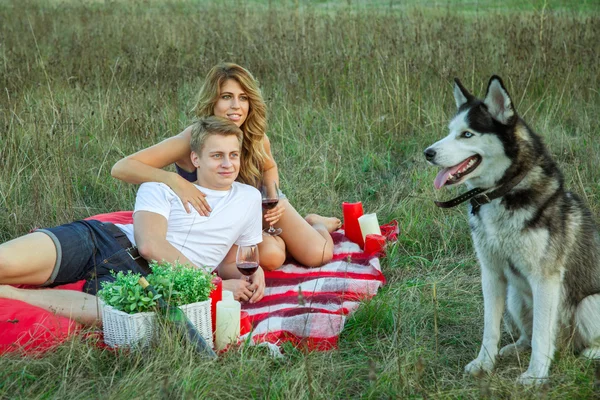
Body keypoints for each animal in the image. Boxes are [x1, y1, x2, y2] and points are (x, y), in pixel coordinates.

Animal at [422, 76, 600, 384]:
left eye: (467, 134)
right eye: (449, 132)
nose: (428, 153)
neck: (501, 194)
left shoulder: (545, 280)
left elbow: (542, 335)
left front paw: (536, 376)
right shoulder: (491, 274)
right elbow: (490, 329)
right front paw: (484, 363)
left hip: (590, 304)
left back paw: (589, 352)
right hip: (516, 296)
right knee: (527, 335)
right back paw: (514, 348)